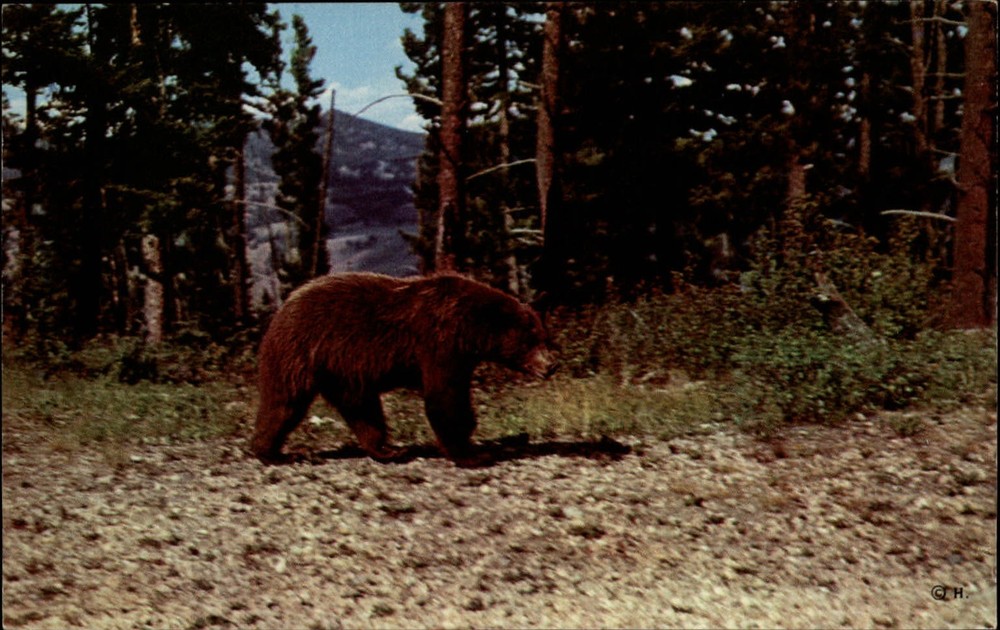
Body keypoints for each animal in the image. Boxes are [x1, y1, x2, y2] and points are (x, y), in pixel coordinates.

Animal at [250, 272, 557, 466]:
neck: (472, 329)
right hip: (300, 352)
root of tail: (283, 307)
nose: (551, 365)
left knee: (363, 409)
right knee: (284, 403)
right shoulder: (440, 343)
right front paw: (471, 454)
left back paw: (389, 449)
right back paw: (275, 453)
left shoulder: (460, 356)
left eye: (544, 336)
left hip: (342, 370)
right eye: (531, 340)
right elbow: (444, 397)